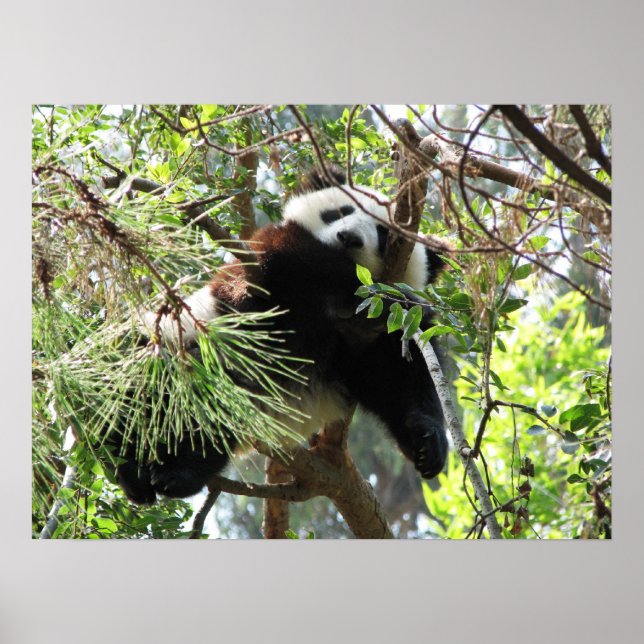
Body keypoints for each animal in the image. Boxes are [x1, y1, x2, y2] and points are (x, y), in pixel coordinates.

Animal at [113, 166, 449, 505]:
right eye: (340, 211)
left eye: (383, 233)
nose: (348, 238)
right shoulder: (264, 269)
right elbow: (289, 258)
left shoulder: (374, 341)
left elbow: (399, 377)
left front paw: (427, 442)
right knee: (151, 387)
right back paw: (134, 467)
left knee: (210, 421)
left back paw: (175, 475)